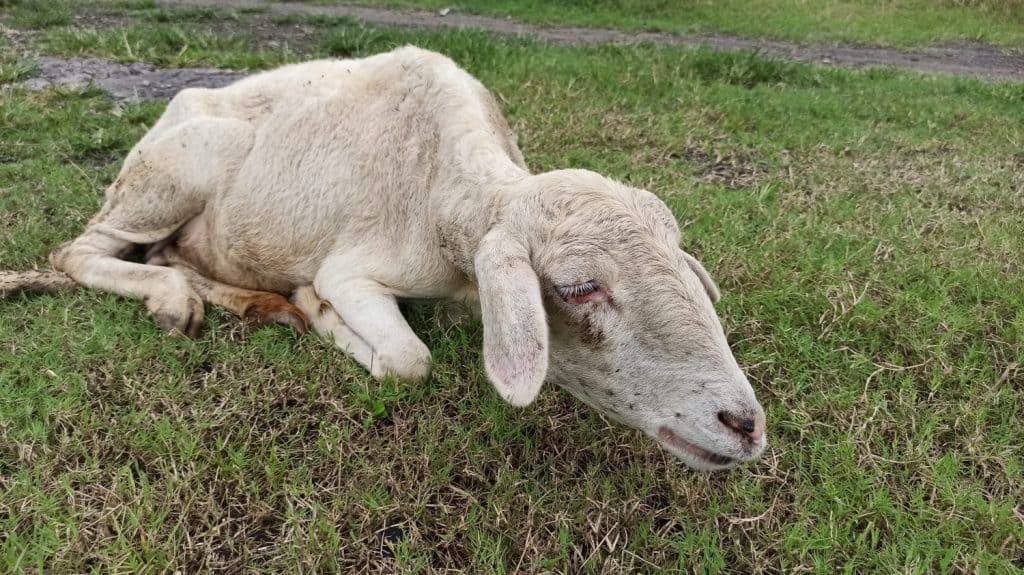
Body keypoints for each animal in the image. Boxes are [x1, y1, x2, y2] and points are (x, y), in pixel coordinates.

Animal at [2, 47, 766, 470]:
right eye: (580, 288)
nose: (745, 425)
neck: (445, 188)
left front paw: (299, 306)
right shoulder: (353, 266)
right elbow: (407, 361)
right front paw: (320, 310)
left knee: (170, 254)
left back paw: (248, 300)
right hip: (171, 171)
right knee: (77, 252)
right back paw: (176, 301)